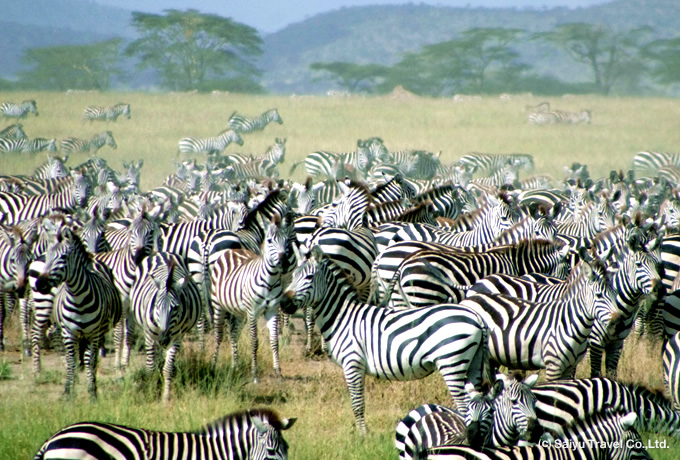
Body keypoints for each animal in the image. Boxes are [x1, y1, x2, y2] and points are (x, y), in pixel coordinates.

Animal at [33, 226, 122, 398]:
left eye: (64, 257)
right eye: (48, 256)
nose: (40, 284)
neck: (78, 299)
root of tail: (93, 258)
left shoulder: (94, 334)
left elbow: (90, 361)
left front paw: (92, 392)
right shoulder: (69, 332)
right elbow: (71, 360)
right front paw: (68, 391)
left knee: (90, 358)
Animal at [129, 252, 201, 402]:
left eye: (176, 308)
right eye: (156, 305)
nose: (163, 339)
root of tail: (164, 253)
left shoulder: (176, 338)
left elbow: (168, 368)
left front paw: (166, 397)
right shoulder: (149, 336)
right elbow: (151, 368)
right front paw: (151, 393)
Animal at [284, 244, 492, 434]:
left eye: (309, 278)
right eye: (293, 277)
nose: (284, 303)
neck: (343, 318)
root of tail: (475, 316)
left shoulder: (352, 363)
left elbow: (357, 404)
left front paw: (363, 436)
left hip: (452, 362)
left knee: (463, 405)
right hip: (473, 363)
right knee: (475, 402)